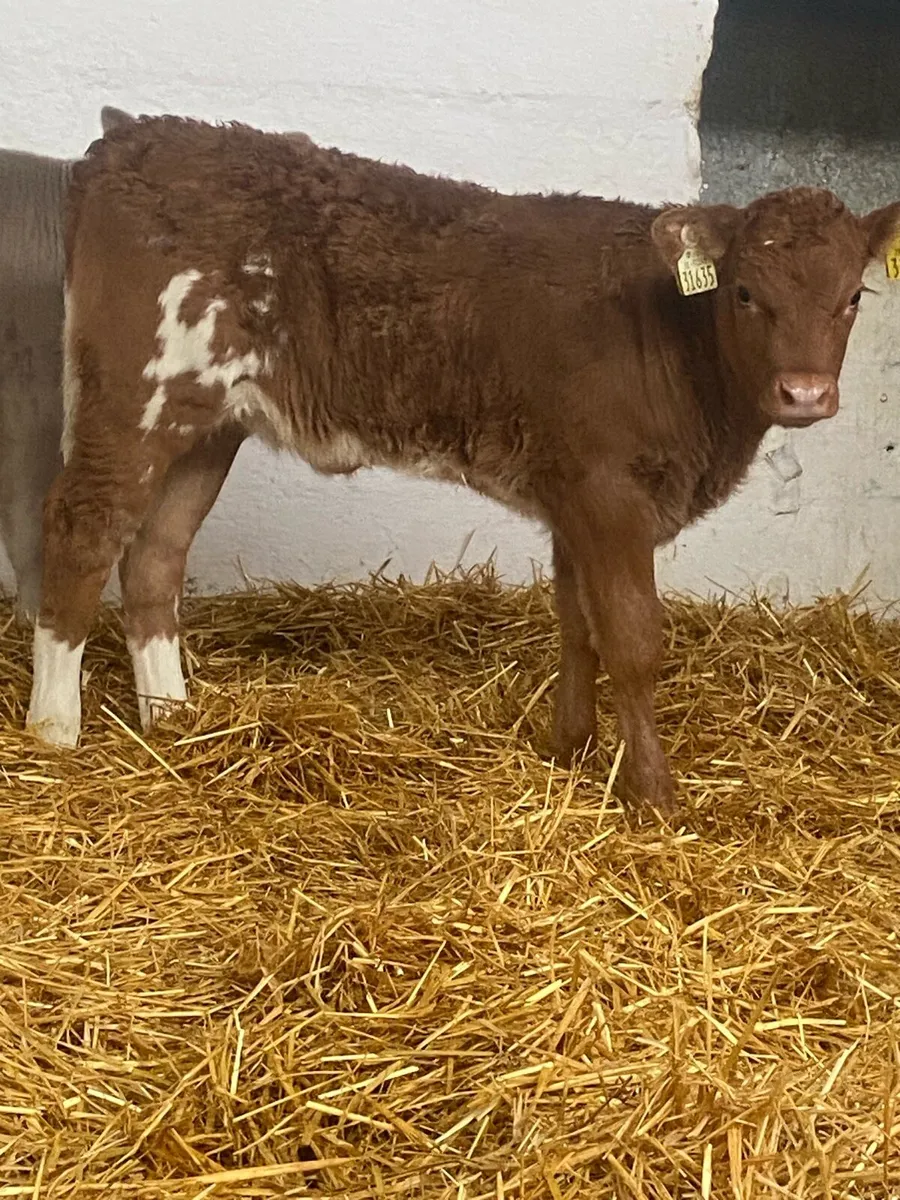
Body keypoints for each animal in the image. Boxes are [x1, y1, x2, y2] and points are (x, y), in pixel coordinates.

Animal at [25, 114, 900, 816]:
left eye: (853, 297)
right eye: (746, 292)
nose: (805, 392)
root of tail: (133, 135)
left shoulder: (570, 493)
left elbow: (576, 622)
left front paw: (569, 748)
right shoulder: (608, 490)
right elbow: (630, 637)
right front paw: (652, 793)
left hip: (209, 424)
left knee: (154, 557)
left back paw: (173, 722)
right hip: (135, 396)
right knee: (81, 531)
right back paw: (55, 732)